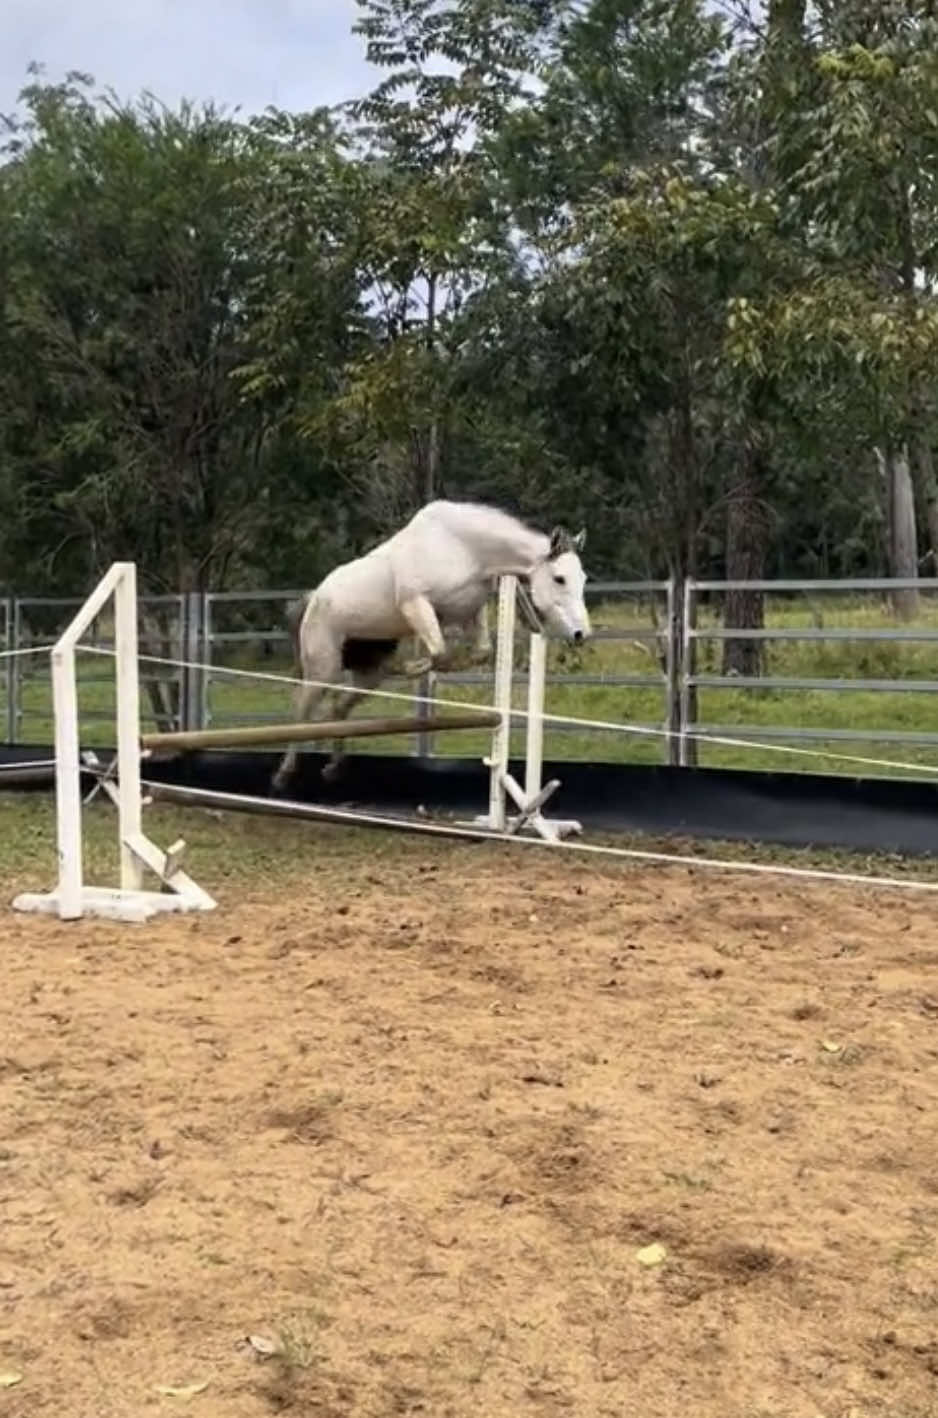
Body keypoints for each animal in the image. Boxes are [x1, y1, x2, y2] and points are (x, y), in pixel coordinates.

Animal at [271, 499, 591, 792]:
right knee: (302, 713)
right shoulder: (416, 604)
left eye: (583, 578)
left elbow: (479, 651)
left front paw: (428, 666)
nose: (581, 634)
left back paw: (335, 767)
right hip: (322, 670)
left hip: (367, 676)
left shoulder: (469, 611)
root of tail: (313, 598)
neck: (466, 549)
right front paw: (414, 667)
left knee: (338, 710)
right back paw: (284, 775)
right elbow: (438, 650)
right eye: (559, 578)